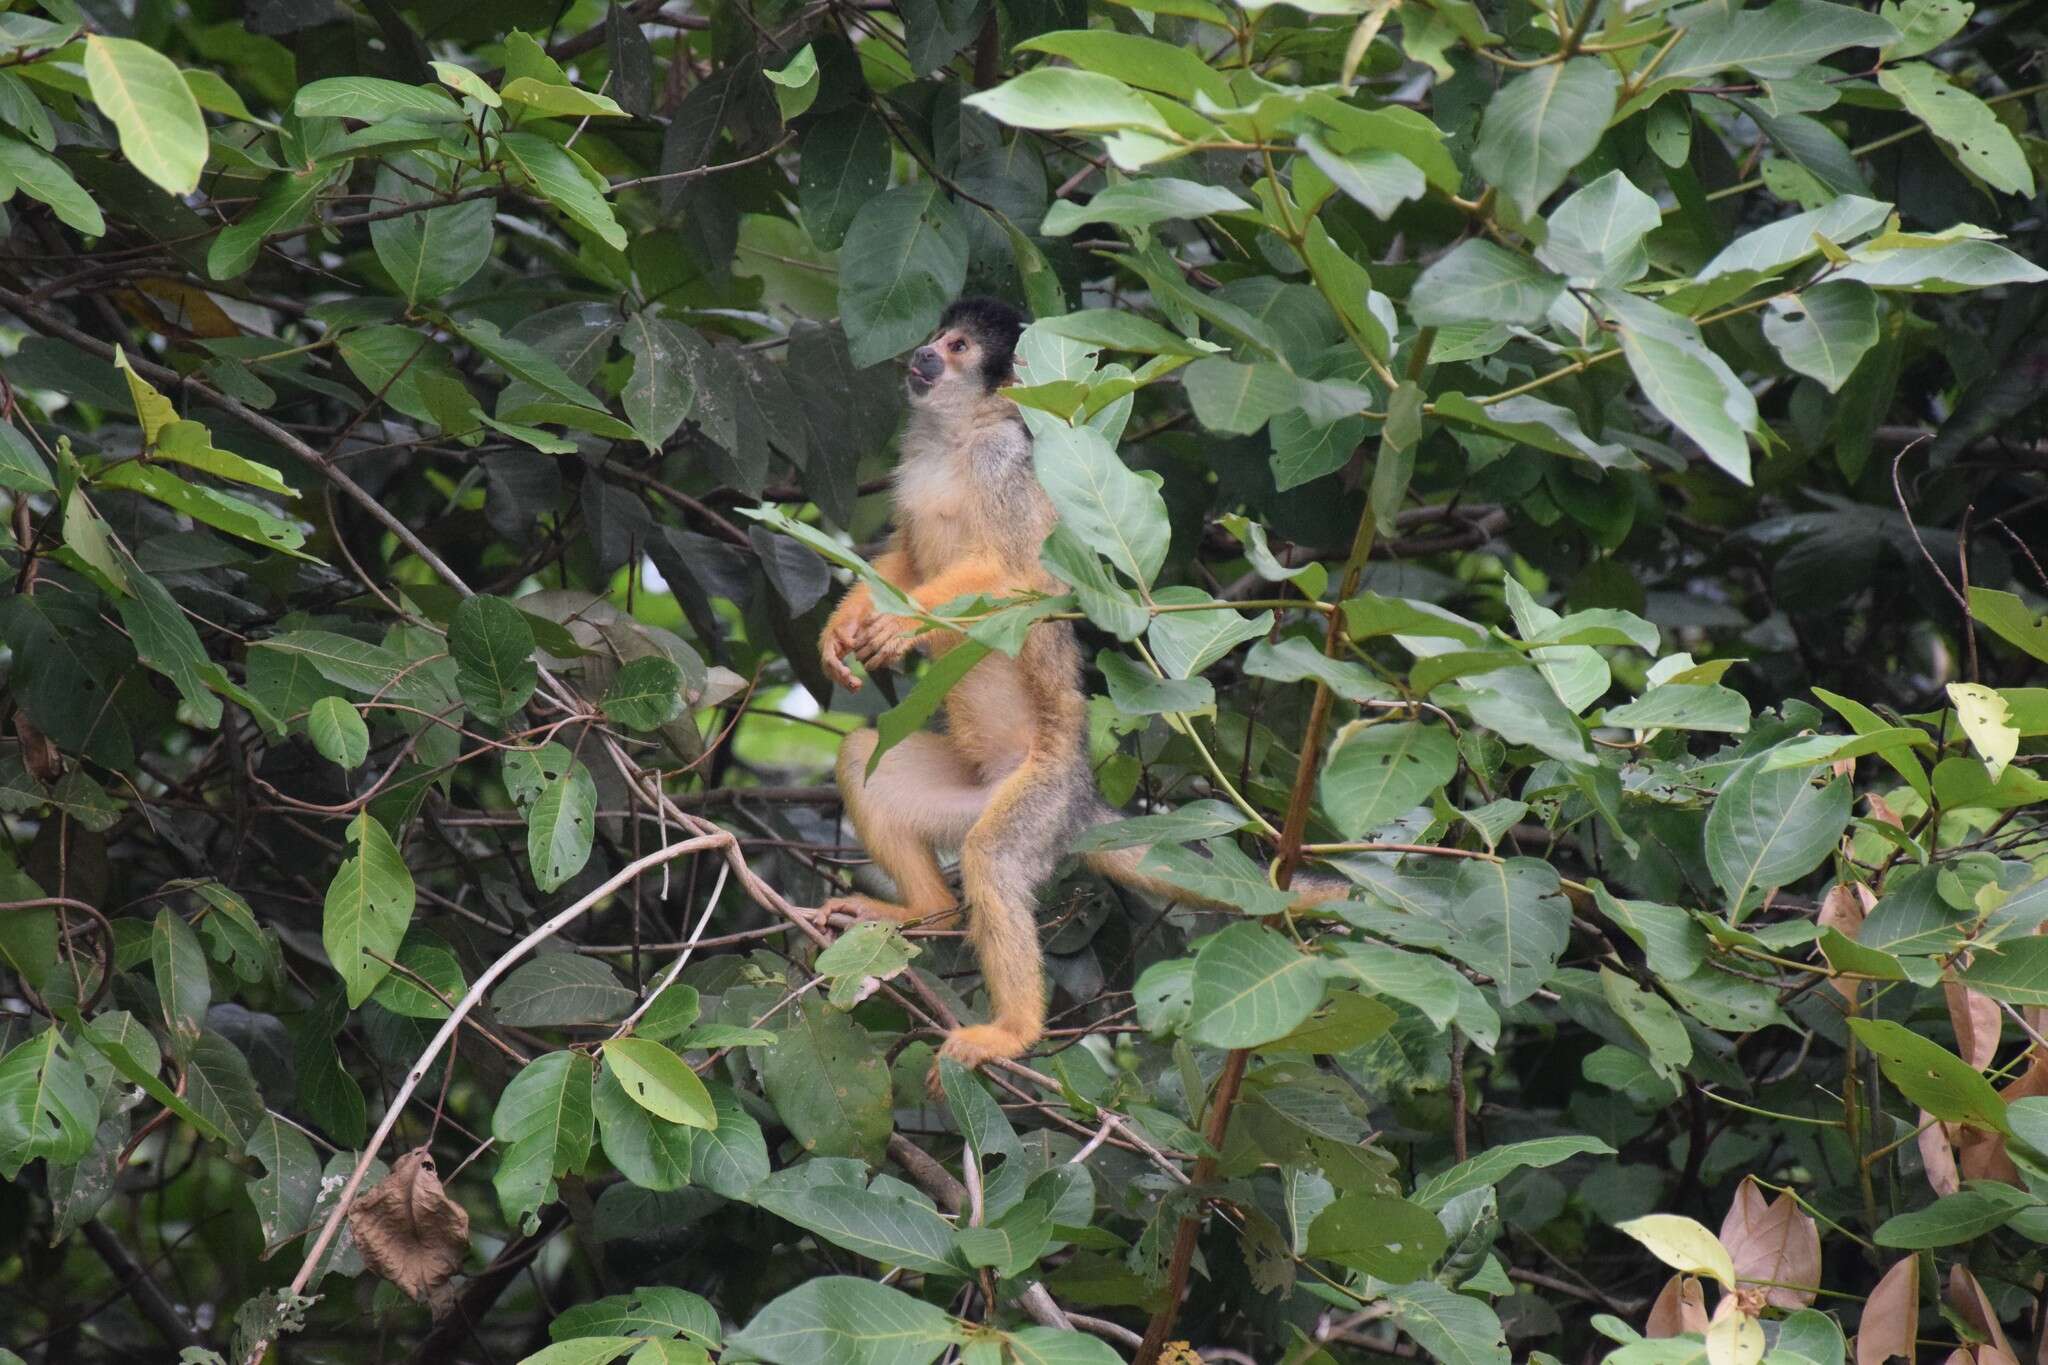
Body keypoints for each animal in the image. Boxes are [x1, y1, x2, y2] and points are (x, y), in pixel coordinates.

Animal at [815, 298, 1343, 1080]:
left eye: (959, 345)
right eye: (938, 335)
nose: (922, 353)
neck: (960, 434)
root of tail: (1082, 800)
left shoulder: (1007, 463)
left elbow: (1022, 578)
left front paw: (904, 622)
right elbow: (907, 556)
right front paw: (846, 625)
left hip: (1040, 798)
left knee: (995, 859)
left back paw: (1013, 1030)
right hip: (969, 794)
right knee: (864, 756)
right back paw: (927, 914)